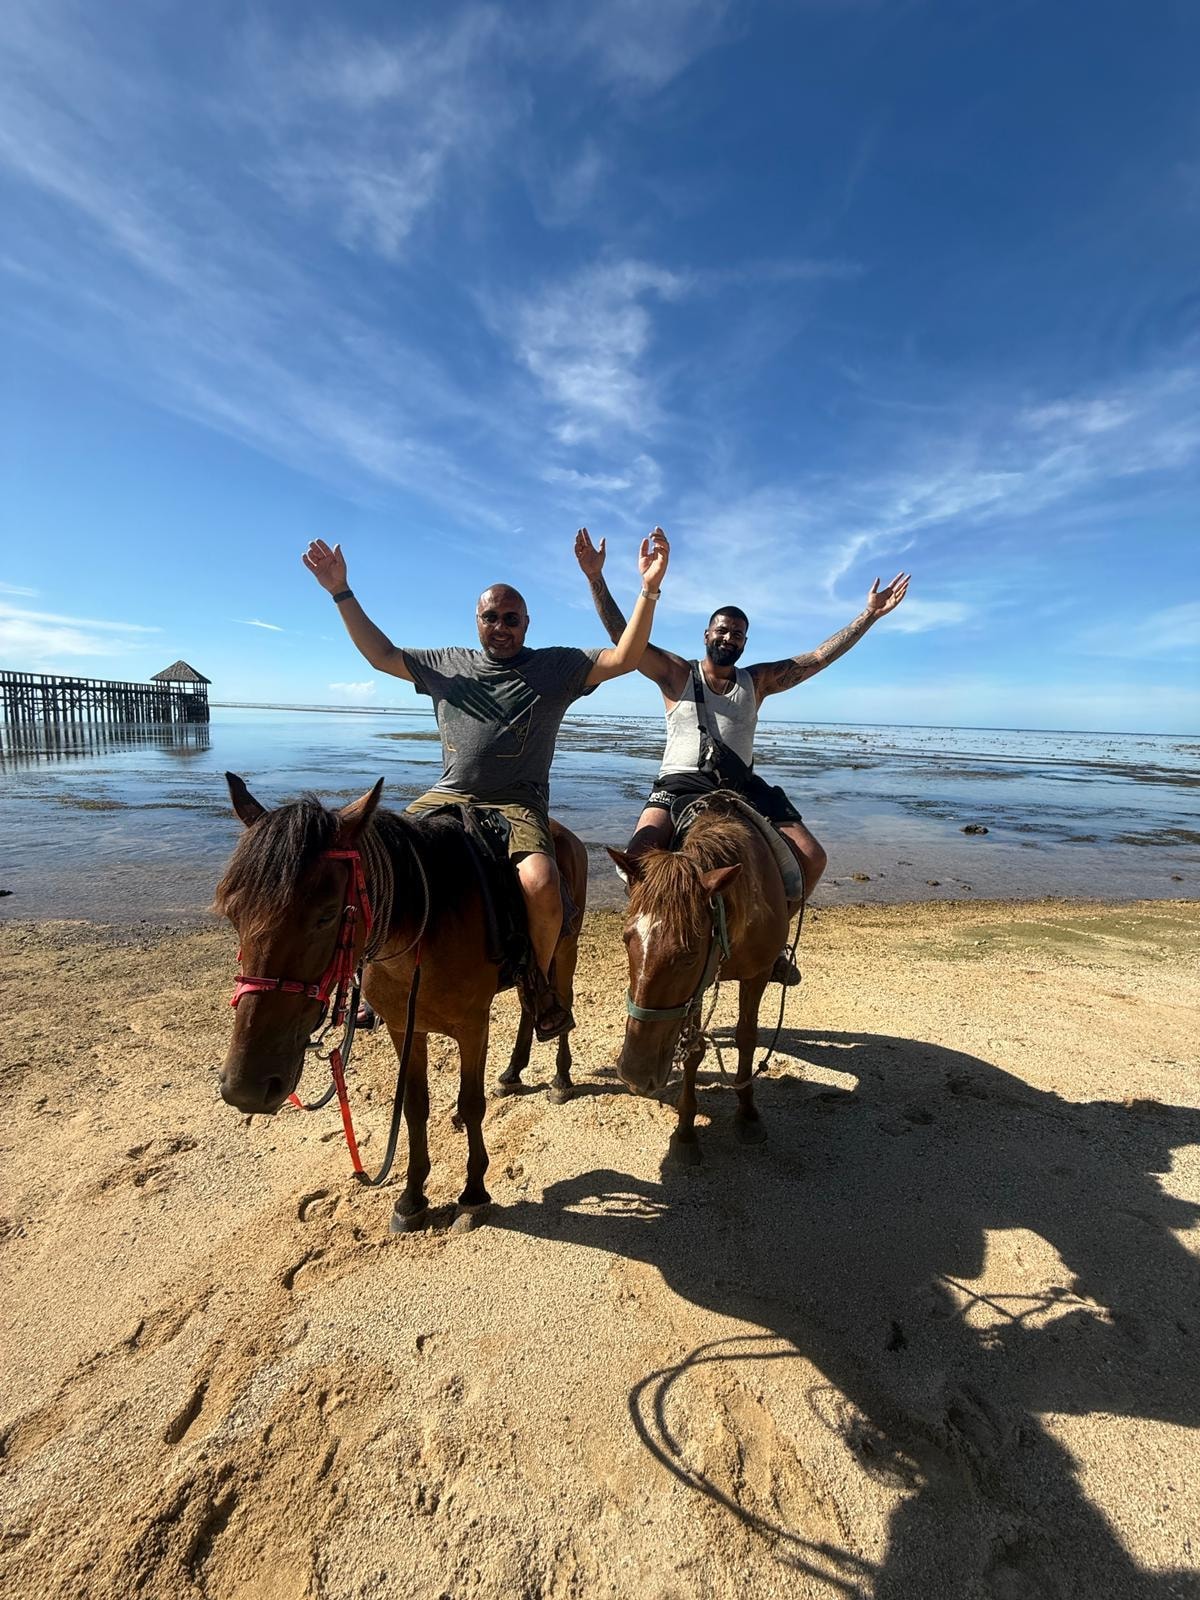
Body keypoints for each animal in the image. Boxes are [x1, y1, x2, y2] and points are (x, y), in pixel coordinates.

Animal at [214, 773, 587, 1229]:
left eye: (326, 915)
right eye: (233, 914)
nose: (246, 1089)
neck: (425, 926)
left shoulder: (473, 1027)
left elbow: (472, 1103)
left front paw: (473, 1193)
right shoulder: (403, 1028)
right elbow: (414, 1107)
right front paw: (412, 1197)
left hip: (564, 950)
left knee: (559, 1001)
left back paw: (561, 1078)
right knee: (526, 1005)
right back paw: (512, 1072)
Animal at [607, 794, 800, 1163]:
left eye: (689, 956)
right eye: (626, 939)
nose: (634, 1073)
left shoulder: (755, 975)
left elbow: (747, 1038)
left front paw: (747, 1113)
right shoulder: (695, 993)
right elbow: (693, 1050)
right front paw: (685, 1132)